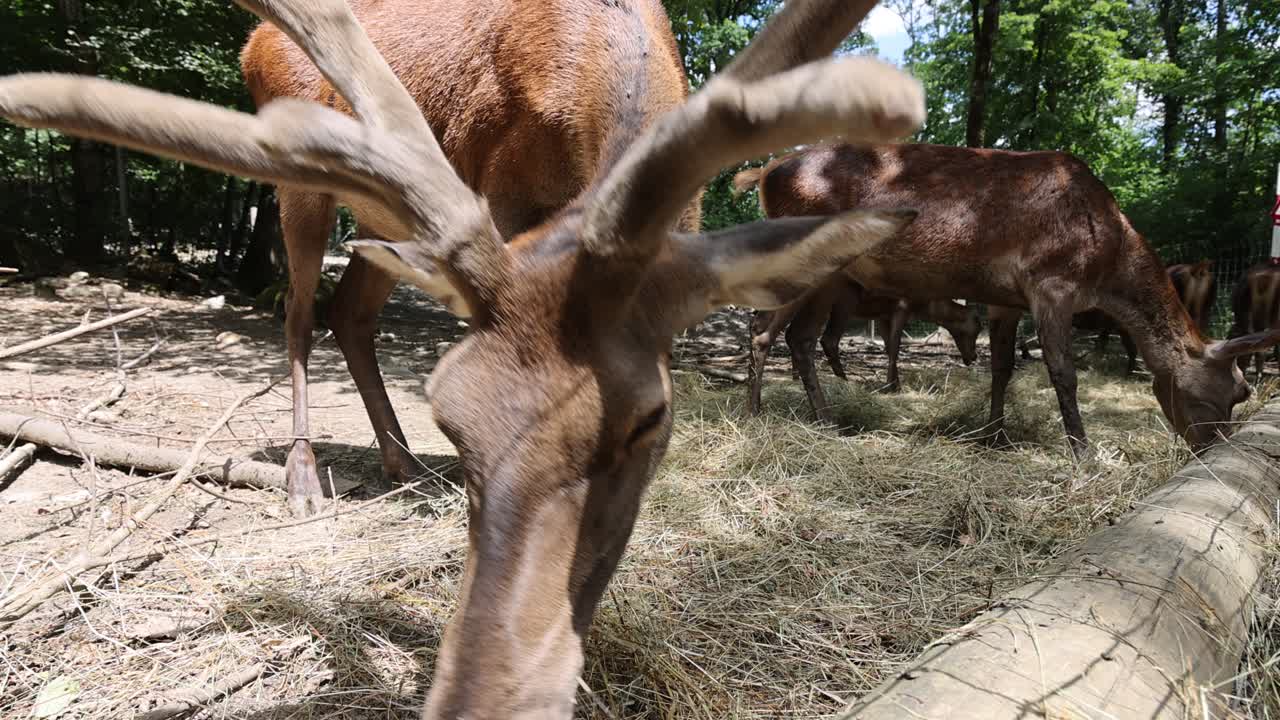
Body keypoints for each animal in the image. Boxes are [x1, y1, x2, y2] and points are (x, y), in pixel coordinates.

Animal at [0, 0, 928, 715]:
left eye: (651, 421)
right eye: (453, 413)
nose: (487, 699)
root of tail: (253, 44)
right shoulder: (500, 179)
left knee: (351, 310)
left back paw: (399, 462)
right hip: (302, 184)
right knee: (298, 311)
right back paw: (305, 473)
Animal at [733, 142, 1280, 457]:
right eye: (1232, 392)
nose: (1210, 450)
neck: (1105, 262)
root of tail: (764, 172)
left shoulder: (1006, 298)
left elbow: (1001, 366)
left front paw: (993, 434)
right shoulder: (1051, 282)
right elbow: (1062, 371)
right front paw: (1082, 451)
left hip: (832, 279)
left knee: (801, 337)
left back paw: (826, 420)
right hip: (798, 260)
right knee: (760, 328)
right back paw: (754, 415)